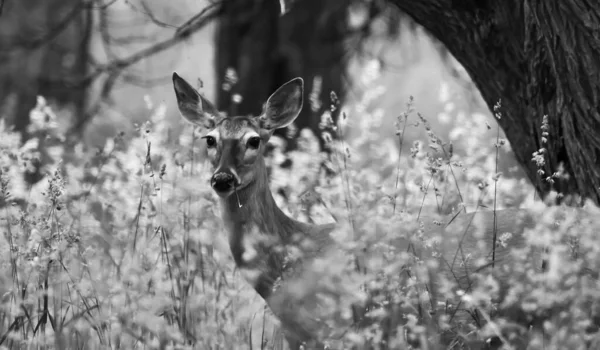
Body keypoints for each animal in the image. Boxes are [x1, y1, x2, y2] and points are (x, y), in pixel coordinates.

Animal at [172, 72, 596, 348]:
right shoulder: (297, 336)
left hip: (569, 311)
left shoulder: (337, 327)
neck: (292, 256)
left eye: (254, 140)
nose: (222, 178)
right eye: (209, 139)